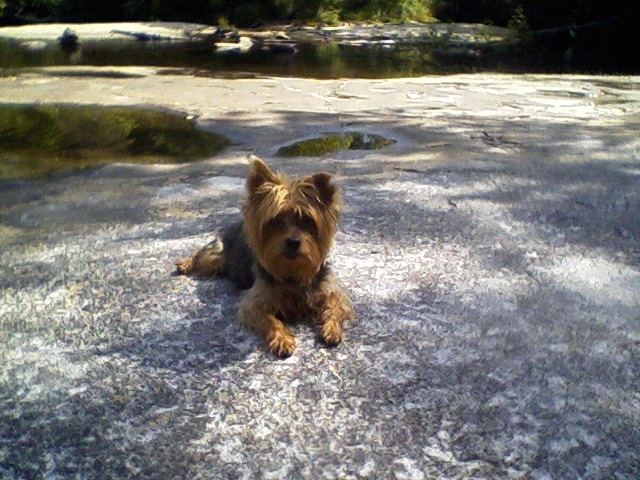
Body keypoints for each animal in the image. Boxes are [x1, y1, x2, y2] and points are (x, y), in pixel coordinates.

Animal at [176, 157, 356, 356]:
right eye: (275, 221)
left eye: (306, 220)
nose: (293, 242)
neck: (292, 271)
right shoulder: (253, 304)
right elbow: (270, 320)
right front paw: (282, 339)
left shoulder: (328, 289)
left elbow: (335, 305)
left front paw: (332, 329)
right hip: (215, 255)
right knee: (202, 255)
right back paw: (185, 263)